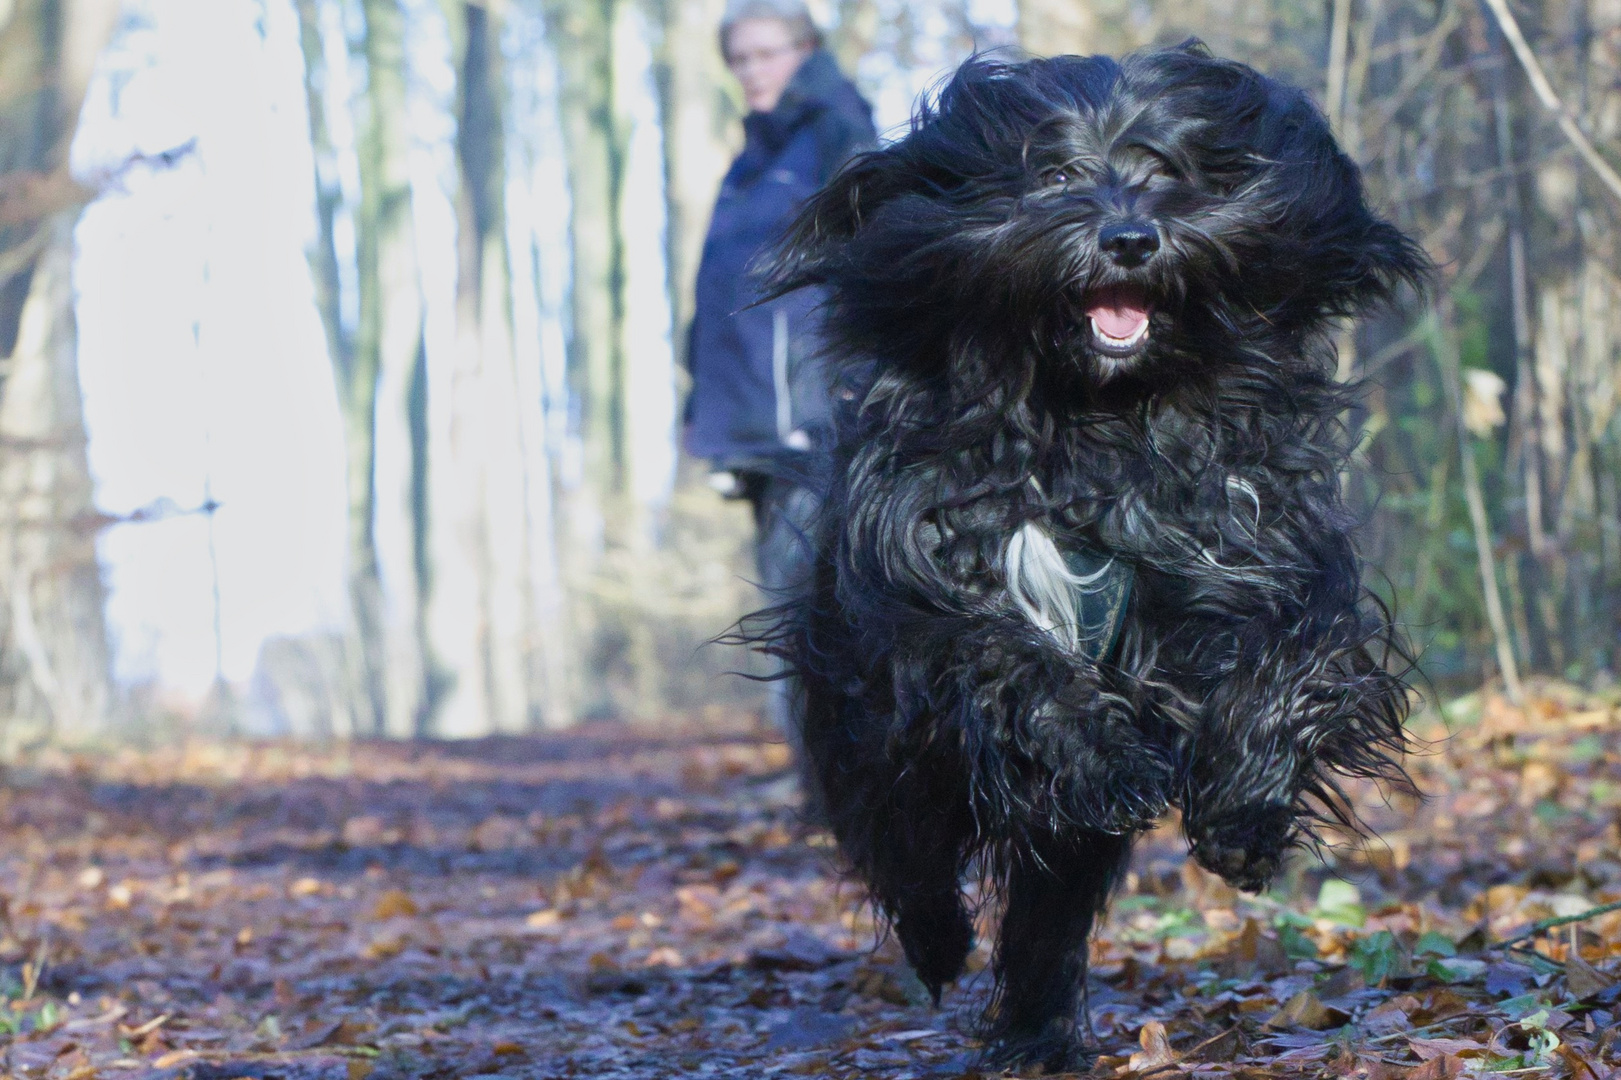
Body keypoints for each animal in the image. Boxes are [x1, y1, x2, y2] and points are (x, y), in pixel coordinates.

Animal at [758, 39, 1432, 1070]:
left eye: (1164, 170)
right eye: (1053, 175)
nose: (1128, 240)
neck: (1090, 422)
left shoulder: (1247, 545)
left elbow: (1285, 660)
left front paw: (1242, 812)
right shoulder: (923, 600)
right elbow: (1006, 664)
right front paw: (1105, 759)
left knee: (1045, 907)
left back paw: (1037, 1035)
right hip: (866, 733)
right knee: (905, 845)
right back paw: (940, 941)